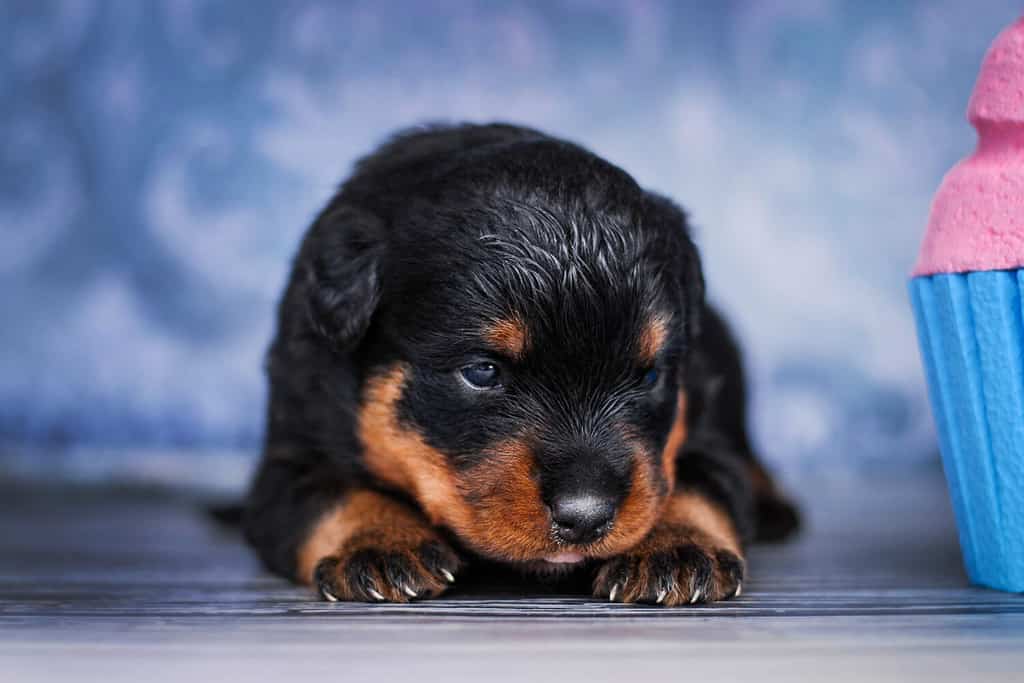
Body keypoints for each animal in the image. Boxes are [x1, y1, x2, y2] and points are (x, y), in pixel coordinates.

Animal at [241, 121, 798, 602]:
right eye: (482, 372)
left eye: (651, 375)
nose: (585, 516)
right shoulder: (292, 449)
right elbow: (332, 492)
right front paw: (380, 541)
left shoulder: (702, 426)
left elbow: (699, 484)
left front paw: (676, 547)